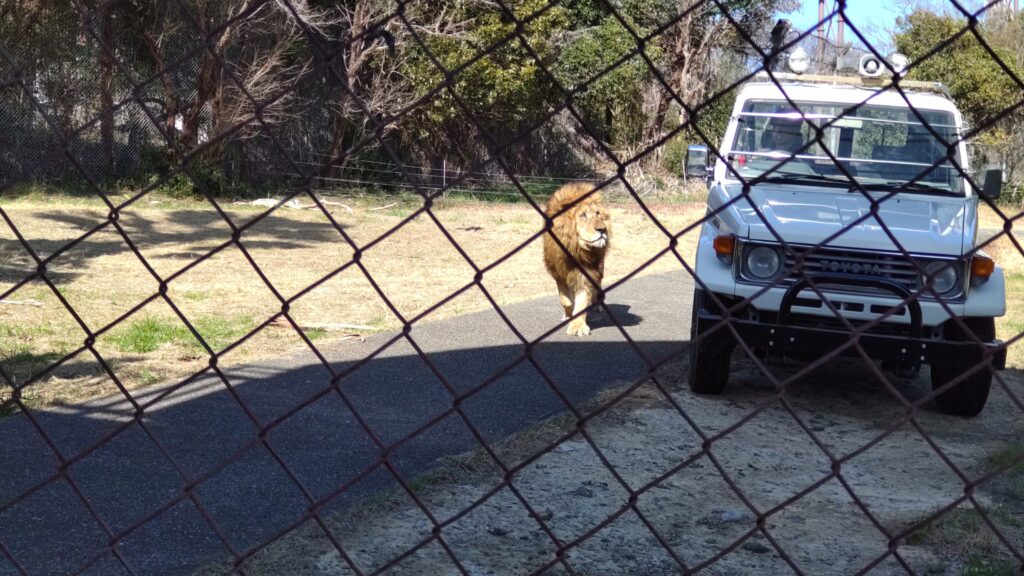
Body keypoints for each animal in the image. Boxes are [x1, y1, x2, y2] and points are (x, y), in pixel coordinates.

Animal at [540, 183, 610, 334]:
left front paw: (577, 327)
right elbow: (565, 301)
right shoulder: (559, 275)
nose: (602, 229)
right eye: (583, 215)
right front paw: (568, 316)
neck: (574, 249)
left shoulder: (586, 274)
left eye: (598, 214)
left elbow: (582, 300)